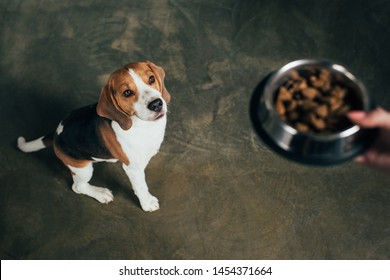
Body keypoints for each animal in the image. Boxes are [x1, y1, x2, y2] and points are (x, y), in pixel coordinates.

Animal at [18, 60, 170, 211]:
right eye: (127, 92)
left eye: (151, 78)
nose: (156, 104)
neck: (144, 126)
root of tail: (56, 133)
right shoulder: (133, 169)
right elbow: (141, 187)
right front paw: (147, 203)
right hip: (82, 169)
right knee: (78, 187)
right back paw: (100, 193)